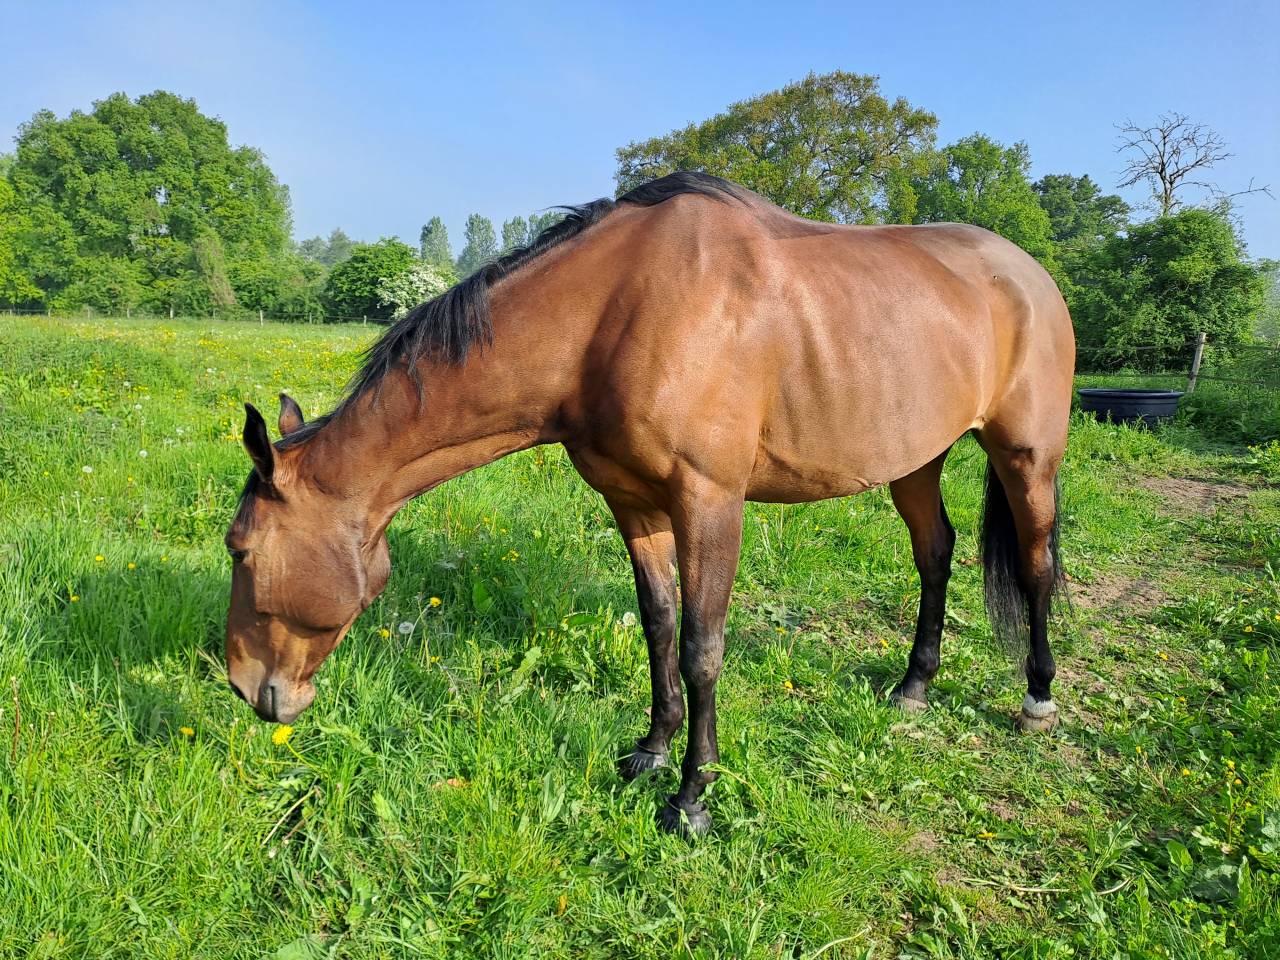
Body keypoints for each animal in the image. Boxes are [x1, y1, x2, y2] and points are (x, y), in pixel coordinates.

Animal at [224, 172, 1074, 838]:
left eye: (241, 549)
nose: (245, 688)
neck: (616, 314)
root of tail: (1028, 273)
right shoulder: (635, 504)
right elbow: (659, 623)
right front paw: (651, 752)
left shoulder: (710, 502)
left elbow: (702, 647)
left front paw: (692, 798)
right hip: (917, 459)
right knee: (936, 552)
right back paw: (914, 687)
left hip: (1027, 454)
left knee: (1035, 564)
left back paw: (1037, 696)